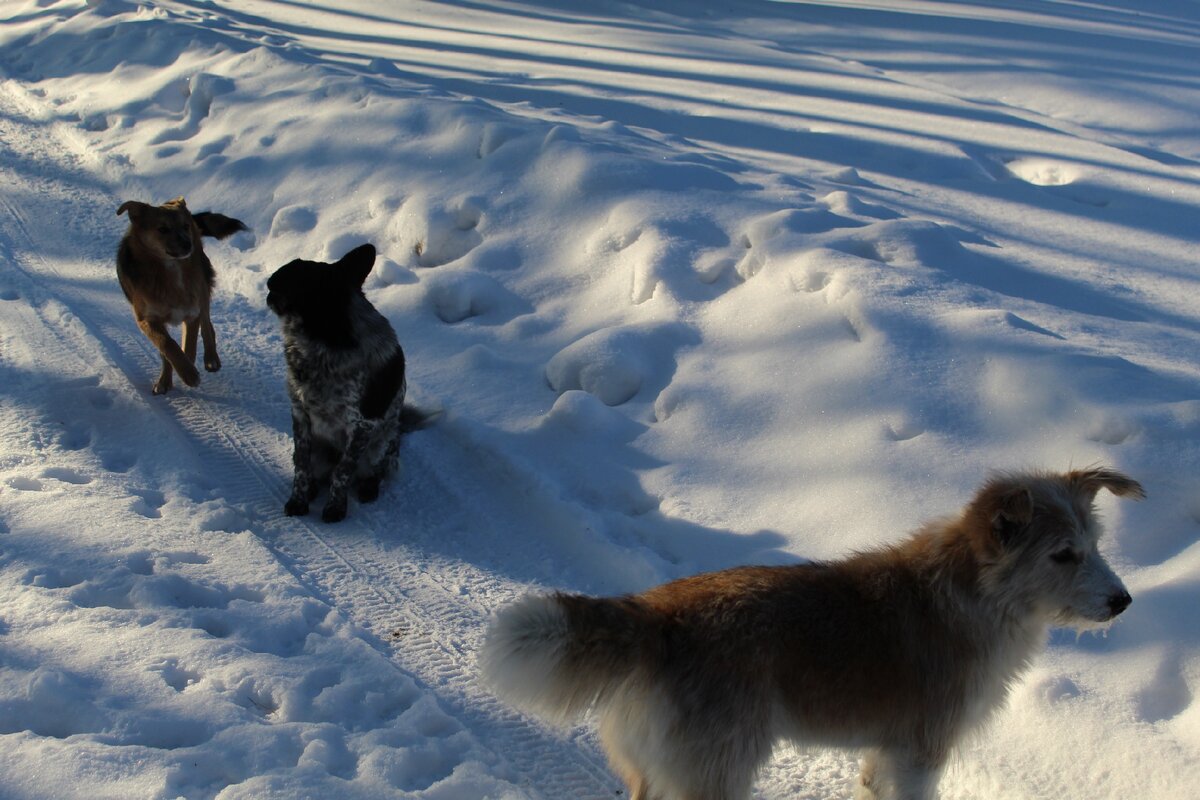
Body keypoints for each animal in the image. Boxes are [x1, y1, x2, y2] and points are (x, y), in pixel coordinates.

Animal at [117, 194, 248, 393]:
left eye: (185, 226)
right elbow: (167, 346)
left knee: (207, 325)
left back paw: (211, 359)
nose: (188, 244)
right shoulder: (148, 320)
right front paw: (171, 378)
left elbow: (189, 346)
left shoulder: (191, 312)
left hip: (202, 289)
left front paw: (189, 372)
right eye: (162, 229)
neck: (170, 271)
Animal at [268, 241, 432, 522]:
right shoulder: (300, 413)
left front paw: (336, 508)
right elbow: (301, 465)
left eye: (292, 278)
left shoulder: (361, 425)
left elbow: (342, 471)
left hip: (382, 445)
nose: (268, 284)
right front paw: (299, 501)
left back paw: (368, 488)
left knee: (374, 471)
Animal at [480, 465, 1142, 800]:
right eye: (1063, 555)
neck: (970, 596)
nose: (1123, 602)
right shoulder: (921, 755)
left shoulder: (885, 755)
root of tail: (659, 612)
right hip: (715, 776)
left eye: (1094, 546)